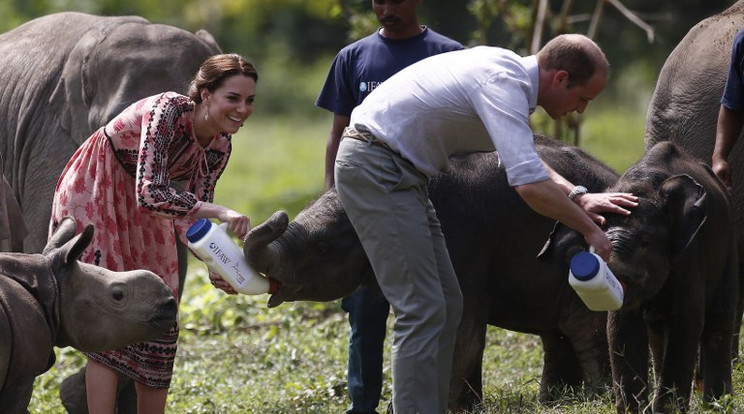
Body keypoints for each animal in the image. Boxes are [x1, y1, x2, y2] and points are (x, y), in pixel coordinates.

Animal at [540, 142, 740, 410]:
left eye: (646, 241)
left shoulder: (690, 251)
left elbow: (686, 319)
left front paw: (669, 411)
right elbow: (621, 326)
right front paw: (634, 409)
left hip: (728, 243)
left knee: (718, 320)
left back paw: (717, 404)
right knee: (657, 331)